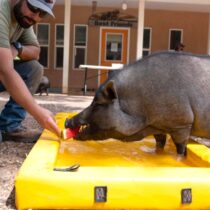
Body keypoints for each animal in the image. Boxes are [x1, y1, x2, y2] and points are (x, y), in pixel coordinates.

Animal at [65, 50, 210, 156]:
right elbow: (159, 144)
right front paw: (154, 155)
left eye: (96, 104)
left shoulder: (182, 124)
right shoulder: (158, 126)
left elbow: (181, 150)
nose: (67, 121)